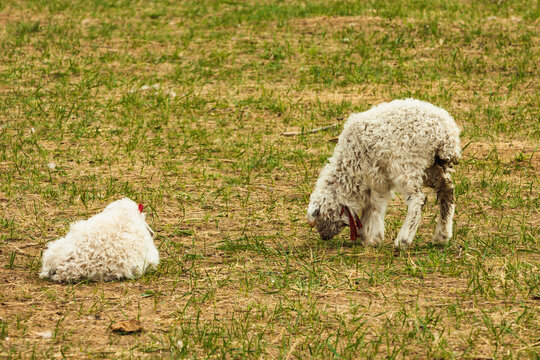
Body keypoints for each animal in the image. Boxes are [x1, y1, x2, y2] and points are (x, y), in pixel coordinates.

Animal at [308, 98, 460, 248]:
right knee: (447, 190)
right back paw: (442, 236)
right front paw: (368, 235)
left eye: (319, 216)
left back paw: (403, 241)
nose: (324, 237)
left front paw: (373, 237)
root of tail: (446, 134)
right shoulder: (372, 182)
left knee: (418, 199)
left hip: (406, 164)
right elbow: (372, 205)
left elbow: (376, 205)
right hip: (430, 167)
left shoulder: (376, 177)